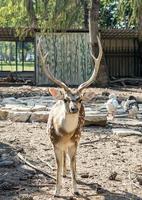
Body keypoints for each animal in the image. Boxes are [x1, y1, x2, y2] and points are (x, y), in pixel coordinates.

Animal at [37, 35, 102, 196]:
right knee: (63, 159)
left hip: (79, 136)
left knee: (71, 158)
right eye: (66, 99)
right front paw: (56, 191)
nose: (73, 108)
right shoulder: (54, 143)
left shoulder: (75, 142)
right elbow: (57, 165)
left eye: (79, 99)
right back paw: (64, 173)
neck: (64, 134)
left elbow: (74, 164)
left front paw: (76, 190)